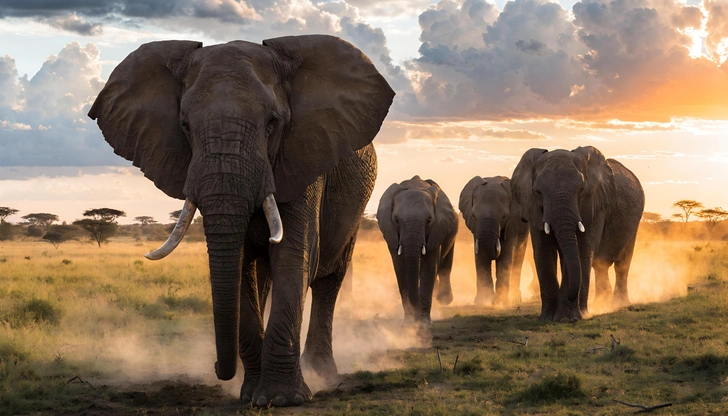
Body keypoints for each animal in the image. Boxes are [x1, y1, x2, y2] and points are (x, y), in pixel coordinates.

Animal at [87, 35, 394, 407]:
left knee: (328, 280)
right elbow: (243, 265)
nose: (219, 367)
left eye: (272, 123)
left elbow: (294, 256)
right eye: (185, 125)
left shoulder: (303, 157)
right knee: (264, 278)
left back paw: (322, 373)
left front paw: (282, 399)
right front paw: (251, 395)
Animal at [376, 176, 458, 323]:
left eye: (429, 220)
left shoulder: (436, 230)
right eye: (396, 219)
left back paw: (444, 300)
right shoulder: (391, 233)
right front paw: (409, 322)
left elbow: (430, 266)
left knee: (445, 263)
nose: (416, 313)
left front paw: (423, 322)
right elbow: (400, 267)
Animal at [459, 176, 530, 306]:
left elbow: (505, 254)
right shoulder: (476, 229)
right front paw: (483, 301)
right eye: (474, 216)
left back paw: (515, 298)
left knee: (518, 256)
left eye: (504, 217)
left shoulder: (511, 223)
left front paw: (500, 302)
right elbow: (479, 257)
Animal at [511, 146, 644, 322]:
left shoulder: (594, 204)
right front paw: (547, 319)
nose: (570, 295)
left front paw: (568, 318)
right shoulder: (534, 208)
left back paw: (617, 304)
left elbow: (581, 251)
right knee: (600, 265)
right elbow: (543, 253)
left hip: (634, 222)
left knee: (622, 263)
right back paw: (600, 303)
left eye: (581, 190)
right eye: (538, 192)